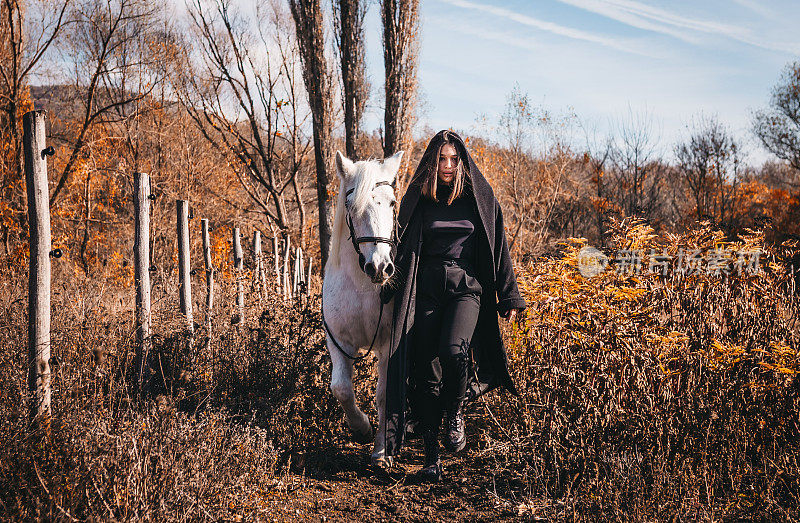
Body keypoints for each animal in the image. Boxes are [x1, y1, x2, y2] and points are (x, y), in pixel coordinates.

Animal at [322, 149, 404, 468]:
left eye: (392, 203)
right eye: (351, 206)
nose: (380, 267)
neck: (361, 287)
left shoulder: (389, 344)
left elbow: (383, 394)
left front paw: (382, 451)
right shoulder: (338, 341)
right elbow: (341, 388)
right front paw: (361, 430)